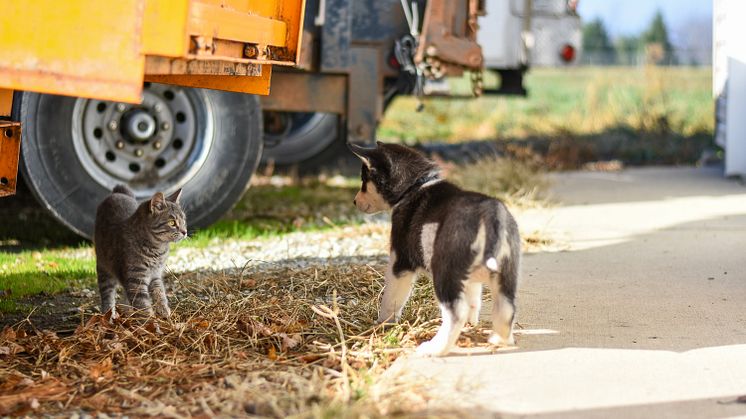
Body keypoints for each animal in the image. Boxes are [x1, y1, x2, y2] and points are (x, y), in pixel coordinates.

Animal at [93, 185, 187, 320]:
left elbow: (160, 293)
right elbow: (142, 304)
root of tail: (117, 192)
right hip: (103, 268)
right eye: (172, 223)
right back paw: (108, 315)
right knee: (107, 295)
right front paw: (150, 321)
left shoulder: (155, 275)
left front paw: (164, 311)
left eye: (184, 220)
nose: (185, 232)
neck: (158, 249)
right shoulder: (135, 279)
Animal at [348, 142, 516, 358]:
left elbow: (391, 298)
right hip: (506, 275)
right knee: (506, 309)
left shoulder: (400, 262)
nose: (354, 202)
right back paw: (500, 339)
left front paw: (383, 324)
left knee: (456, 313)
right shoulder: (470, 281)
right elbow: (474, 301)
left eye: (364, 181)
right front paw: (472, 326)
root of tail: (488, 215)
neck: (415, 186)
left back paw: (435, 348)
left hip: (445, 272)